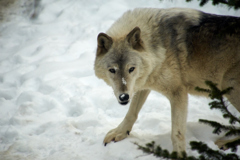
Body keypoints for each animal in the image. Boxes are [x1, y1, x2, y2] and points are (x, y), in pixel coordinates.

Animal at [94, 7, 240, 156]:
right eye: (112, 70)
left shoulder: (178, 93)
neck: (159, 48)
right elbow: (131, 113)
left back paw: (226, 143)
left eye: (131, 69)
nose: (124, 97)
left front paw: (179, 155)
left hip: (229, 86)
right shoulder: (143, 84)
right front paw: (120, 132)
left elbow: (176, 133)